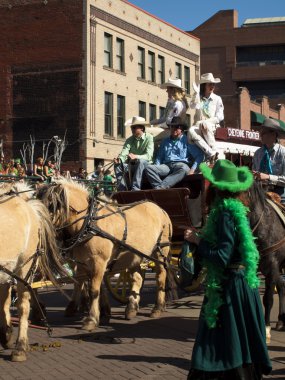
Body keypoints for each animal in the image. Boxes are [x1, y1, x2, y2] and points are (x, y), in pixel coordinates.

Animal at [36, 180, 174, 332]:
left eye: (51, 205)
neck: (89, 223)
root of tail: (160, 209)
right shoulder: (81, 263)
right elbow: (81, 284)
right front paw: (91, 310)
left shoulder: (98, 261)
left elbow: (94, 289)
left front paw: (91, 319)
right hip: (134, 254)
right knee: (137, 278)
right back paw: (131, 308)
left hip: (160, 251)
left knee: (160, 276)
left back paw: (157, 308)